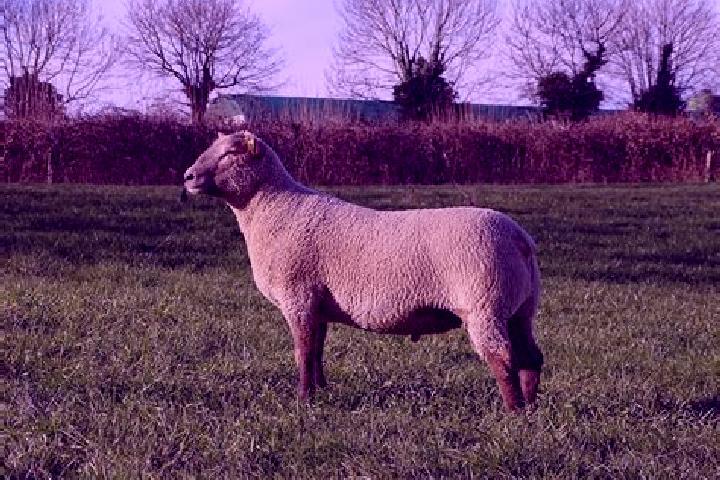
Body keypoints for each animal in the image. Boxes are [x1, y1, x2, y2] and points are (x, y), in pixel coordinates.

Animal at [182, 131, 543, 411]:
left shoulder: (298, 296)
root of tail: (520, 238)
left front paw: (303, 401)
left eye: (230, 153)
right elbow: (317, 349)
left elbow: (303, 352)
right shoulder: (318, 304)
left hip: (484, 304)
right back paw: (530, 409)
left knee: (503, 358)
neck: (273, 209)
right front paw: (321, 391)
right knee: (531, 358)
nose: (187, 177)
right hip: (520, 308)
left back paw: (511, 412)